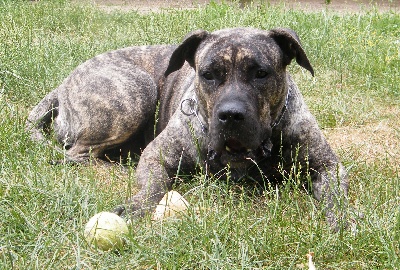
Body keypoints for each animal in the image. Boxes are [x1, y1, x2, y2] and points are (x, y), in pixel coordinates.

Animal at [26, 27, 348, 230]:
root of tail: (62, 84)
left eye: (261, 73)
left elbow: (337, 195)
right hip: (137, 91)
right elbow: (154, 187)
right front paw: (136, 207)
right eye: (208, 74)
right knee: (77, 154)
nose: (231, 115)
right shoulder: (157, 155)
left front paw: (344, 220)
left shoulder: (327, 164)